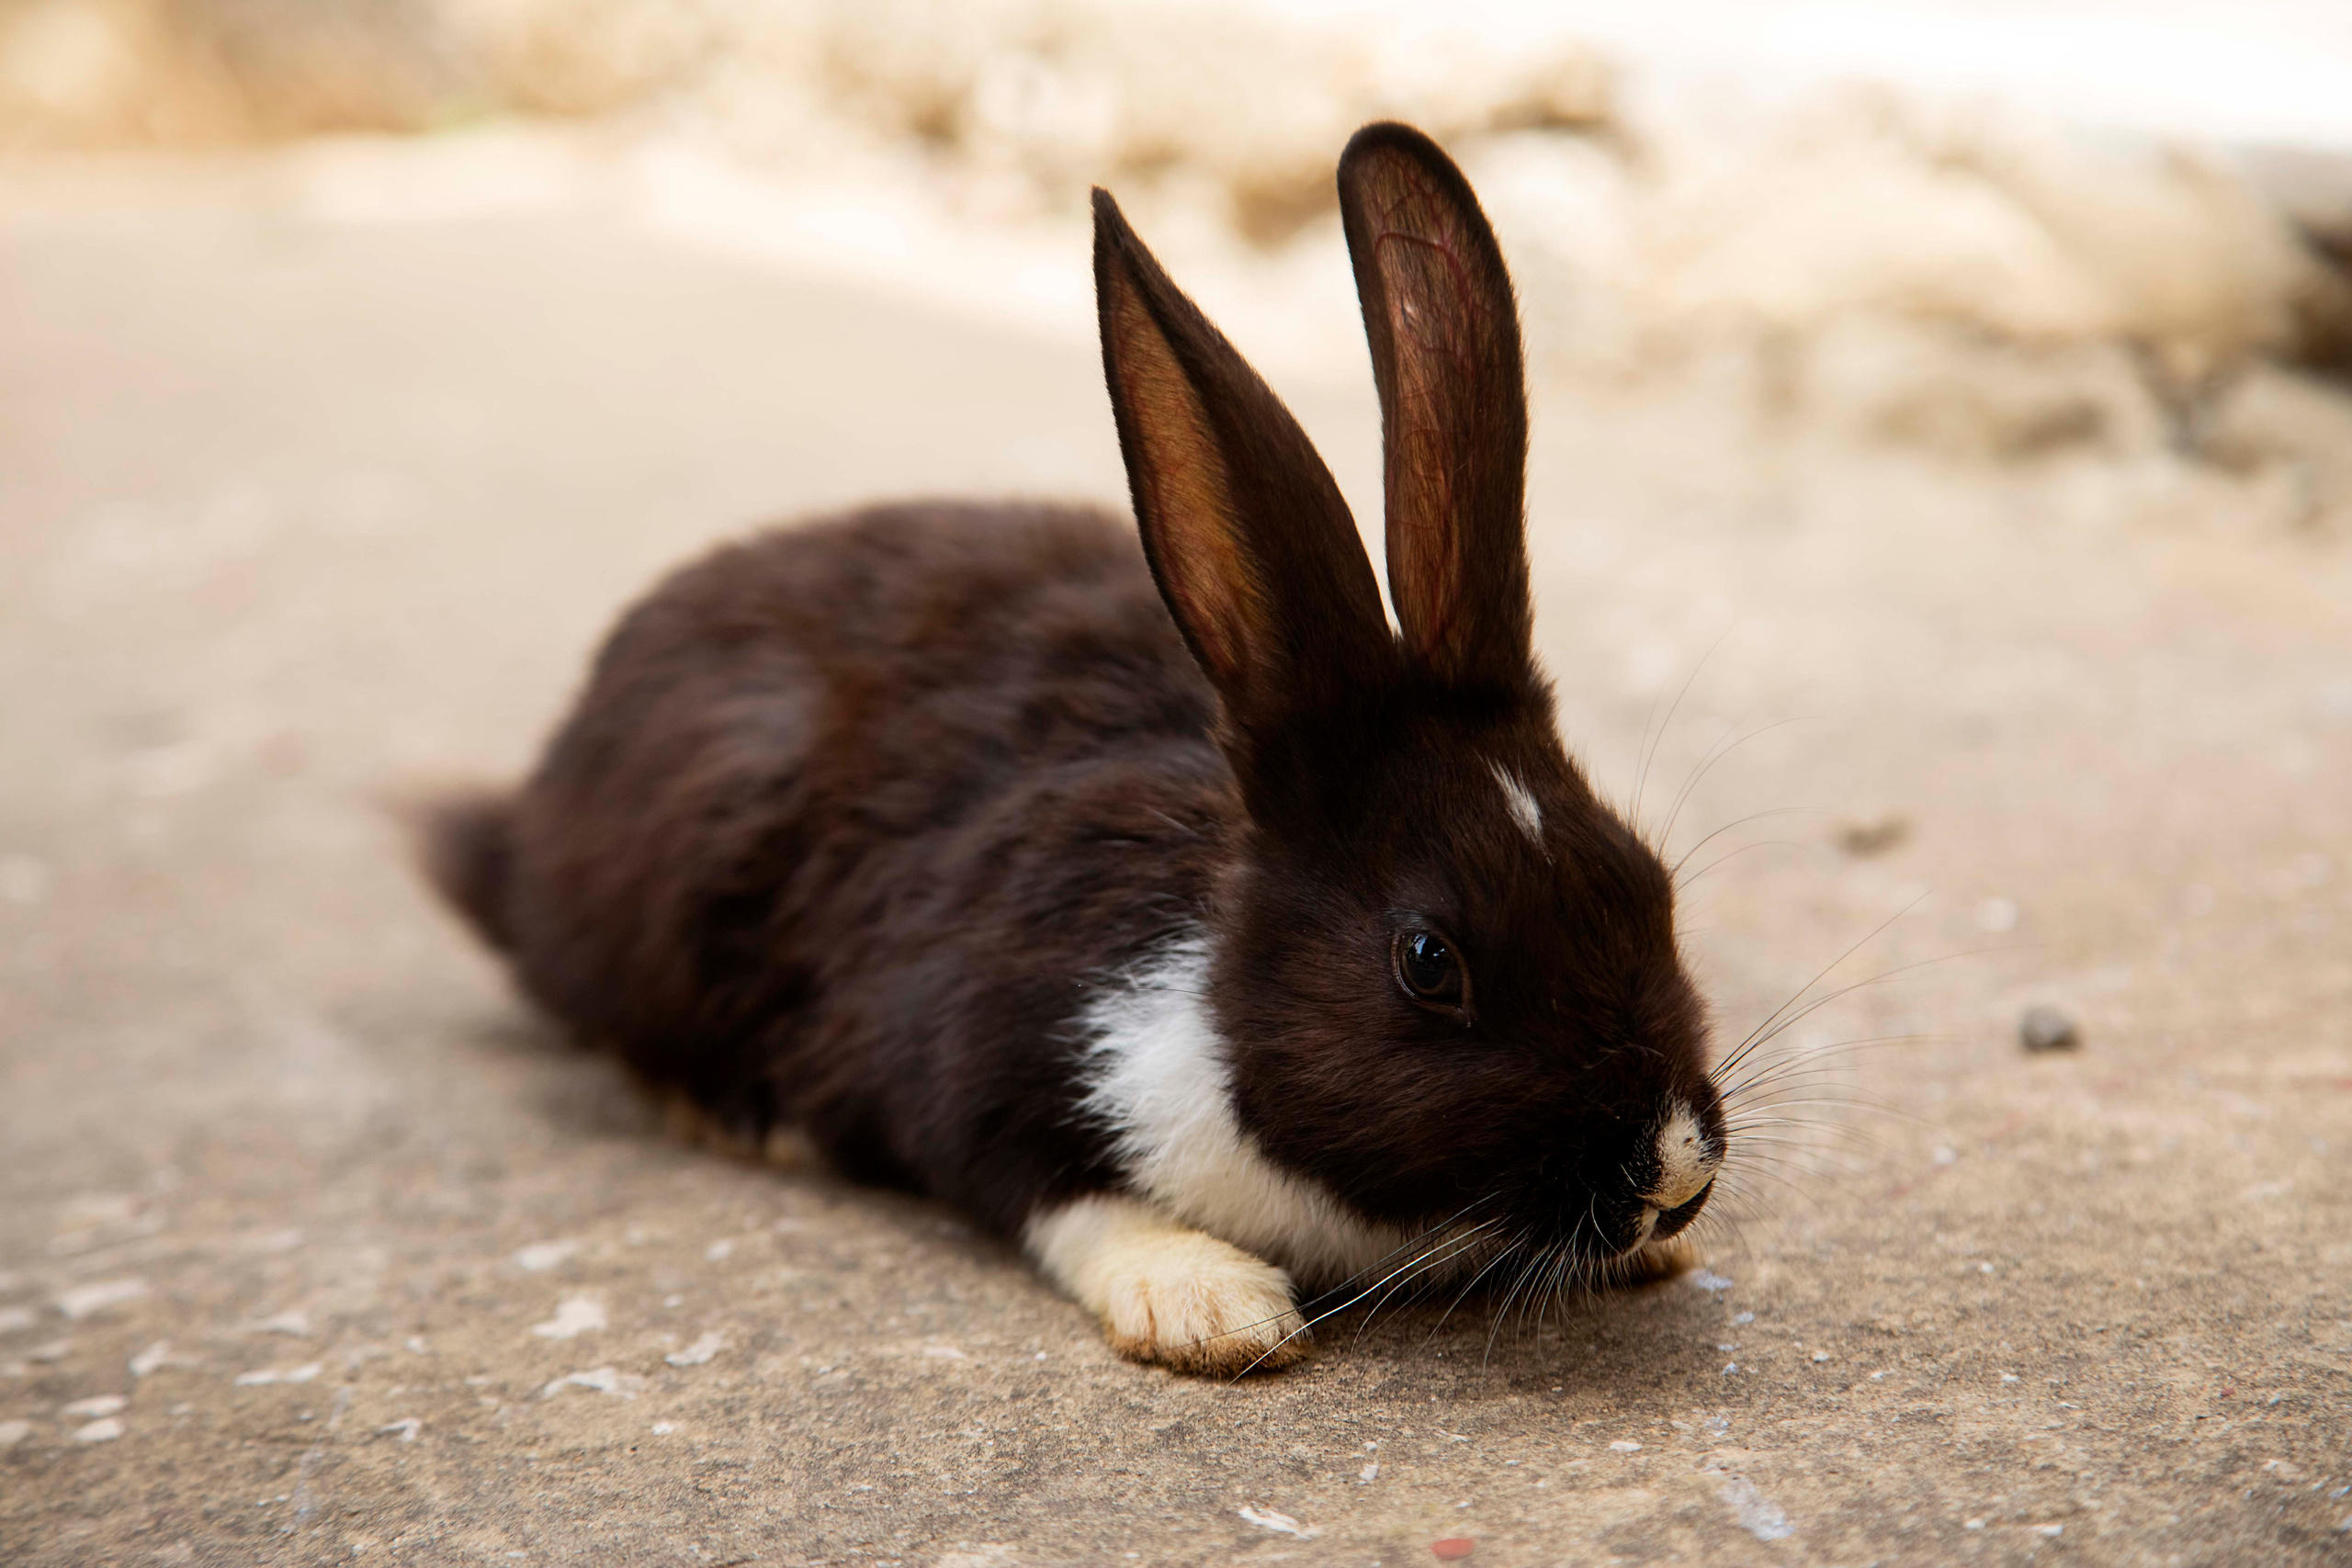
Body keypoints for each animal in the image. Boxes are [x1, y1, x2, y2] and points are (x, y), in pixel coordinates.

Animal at [417, 122, 1726, 1376]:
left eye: (1648, 885)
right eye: (1427, 962)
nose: (1673, 1177)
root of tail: (532, 813)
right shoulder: (965, 1050)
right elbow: (1058, 1196)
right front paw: (1211, 1309)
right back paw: (746, 1116)